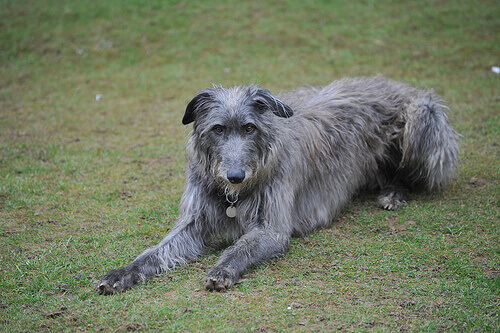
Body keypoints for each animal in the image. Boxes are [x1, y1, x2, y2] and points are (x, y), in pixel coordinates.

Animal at [95, 76, 458, 294]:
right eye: (218, 129)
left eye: (250, 128)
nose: (235, 176)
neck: (234, 196)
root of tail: (402, 85)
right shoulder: (195, 221)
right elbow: (155, 252)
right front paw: (120, 273)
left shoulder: (272, 229)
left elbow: (239, 247)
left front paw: (223, 270)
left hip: (422, 117)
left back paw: (395, 192)